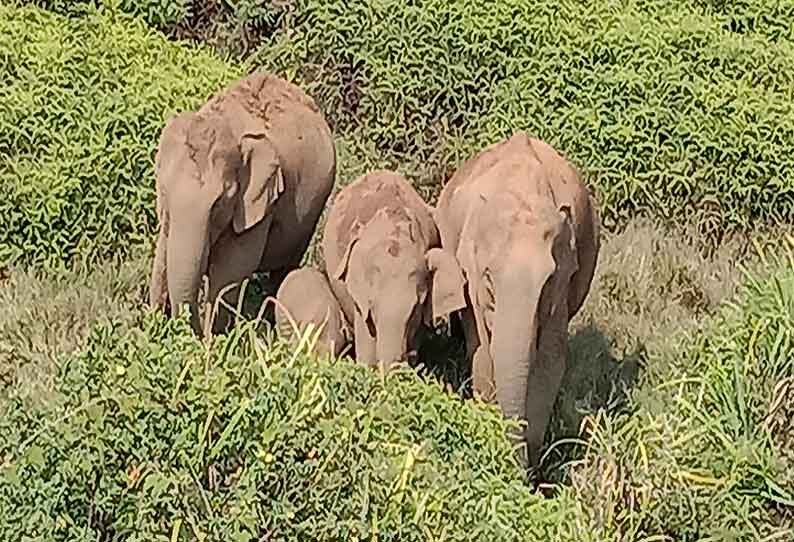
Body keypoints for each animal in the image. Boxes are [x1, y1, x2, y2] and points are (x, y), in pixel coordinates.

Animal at [148, 72, 334, 336]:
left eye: (219, 204)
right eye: (163, 191)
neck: (228, 125)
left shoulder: (261, 204)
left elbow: (231, 270)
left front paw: (214, 339)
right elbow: (161, 257)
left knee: (284, 269)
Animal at [430, 133, 596, 472]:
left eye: (547, 282)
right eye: (489, 278)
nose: (519, 470)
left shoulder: (562, 286)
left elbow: (549, 362)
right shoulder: (473, 285)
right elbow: (483, 356)